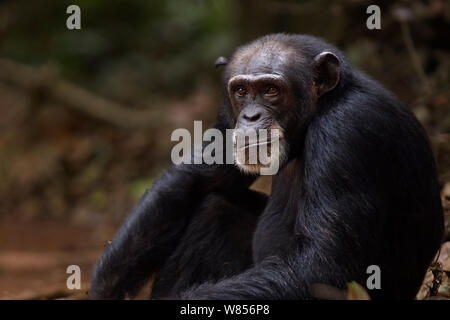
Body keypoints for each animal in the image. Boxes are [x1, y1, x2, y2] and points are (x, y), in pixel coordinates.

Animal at [90, 33, 442, 298]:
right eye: (241, 90)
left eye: (272, 90)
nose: (251, 116)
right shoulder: (226, 115)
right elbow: (199, 176)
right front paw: (106, 287)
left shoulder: (348, 132)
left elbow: (322, 265)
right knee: (215, 206)